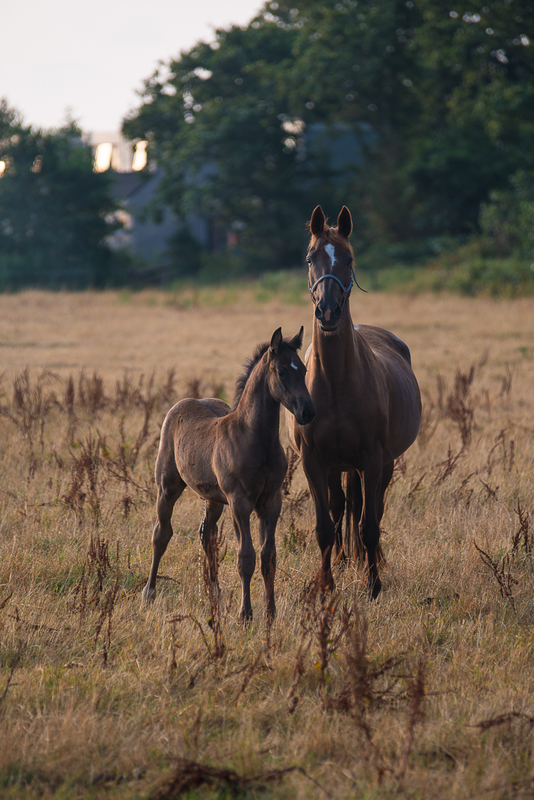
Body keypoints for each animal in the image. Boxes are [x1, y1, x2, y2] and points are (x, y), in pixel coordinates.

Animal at [144, 328, 316, 620]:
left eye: (303, 369)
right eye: (281, 371)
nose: (307, 411)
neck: (255, 439)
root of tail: (183, 403)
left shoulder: (271, 502)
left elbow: (269, 556)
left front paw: (270, 613)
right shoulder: (239, 502)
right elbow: (246, 557)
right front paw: (245, 615)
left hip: (213, 498)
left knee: (207, 535)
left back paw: (214, 593)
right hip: (167, 487)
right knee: (162, 534)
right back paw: (149, 593)